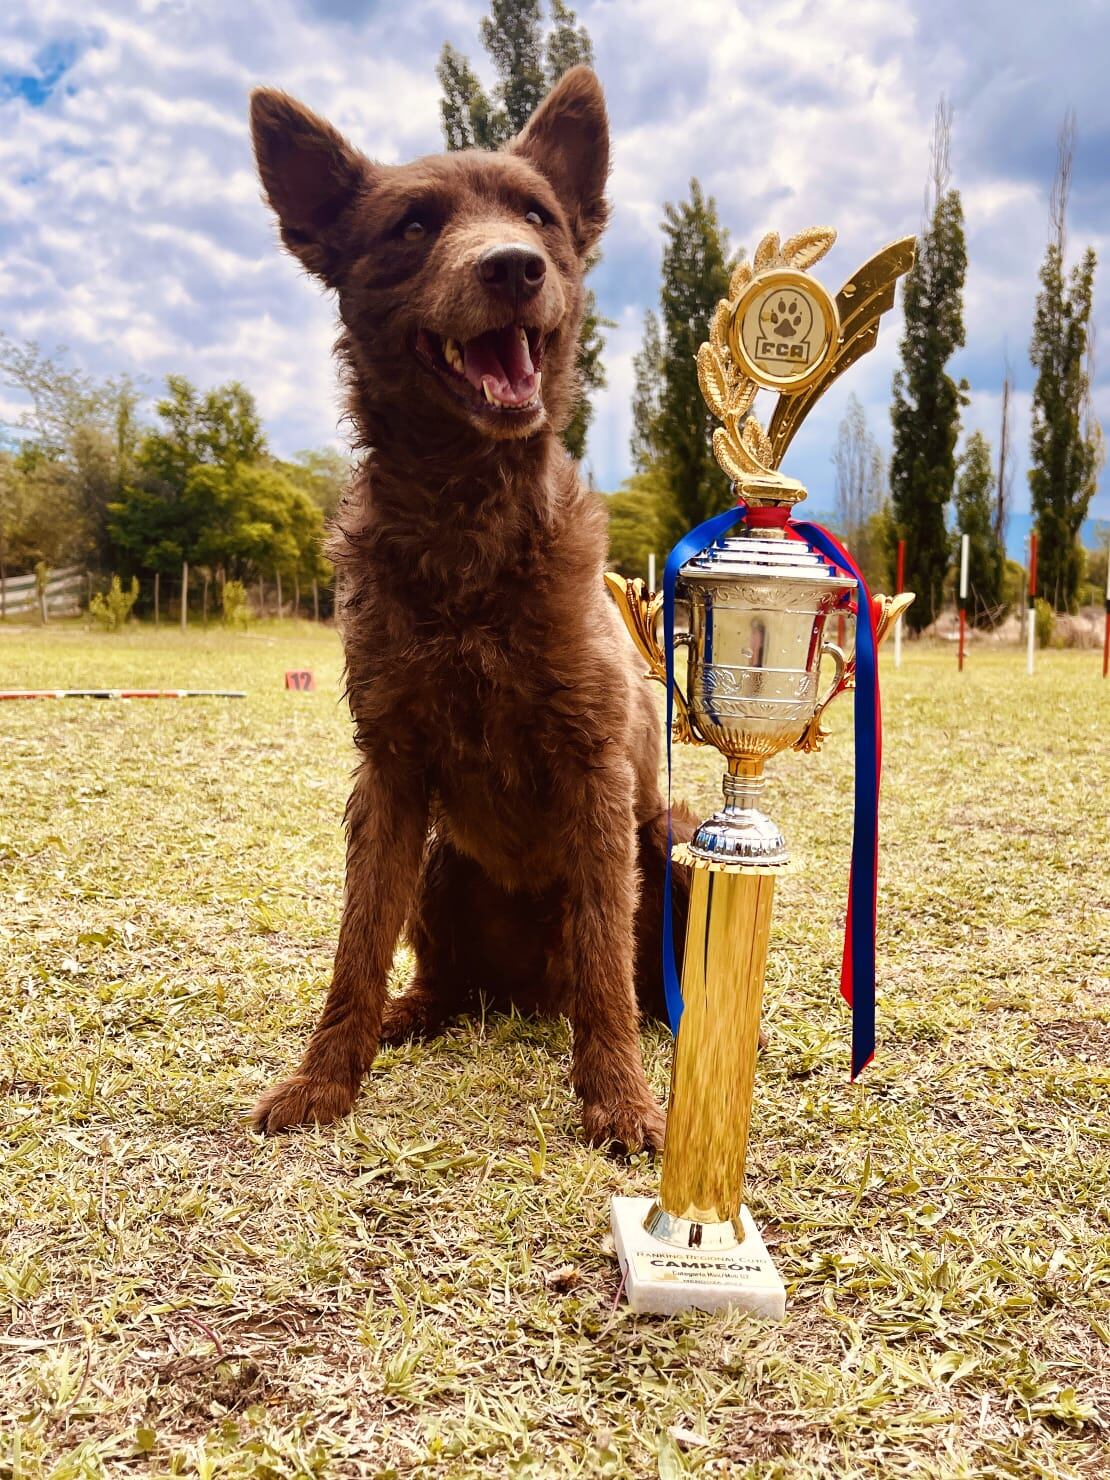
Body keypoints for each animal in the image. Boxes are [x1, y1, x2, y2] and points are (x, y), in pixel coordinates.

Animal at [250, 63, 686, 1148]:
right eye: (412, 226)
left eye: (537, 215)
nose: (514, 268)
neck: (466, 530)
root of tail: (526, 994)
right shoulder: (390, 773)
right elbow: (355, 945)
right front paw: (326, 1077)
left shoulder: (595, 770)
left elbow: (606, 964)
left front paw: (619, 1098)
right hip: (444, 864)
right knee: (445, 983)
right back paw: (412, 1015)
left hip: (674, 837)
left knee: (616, 979)